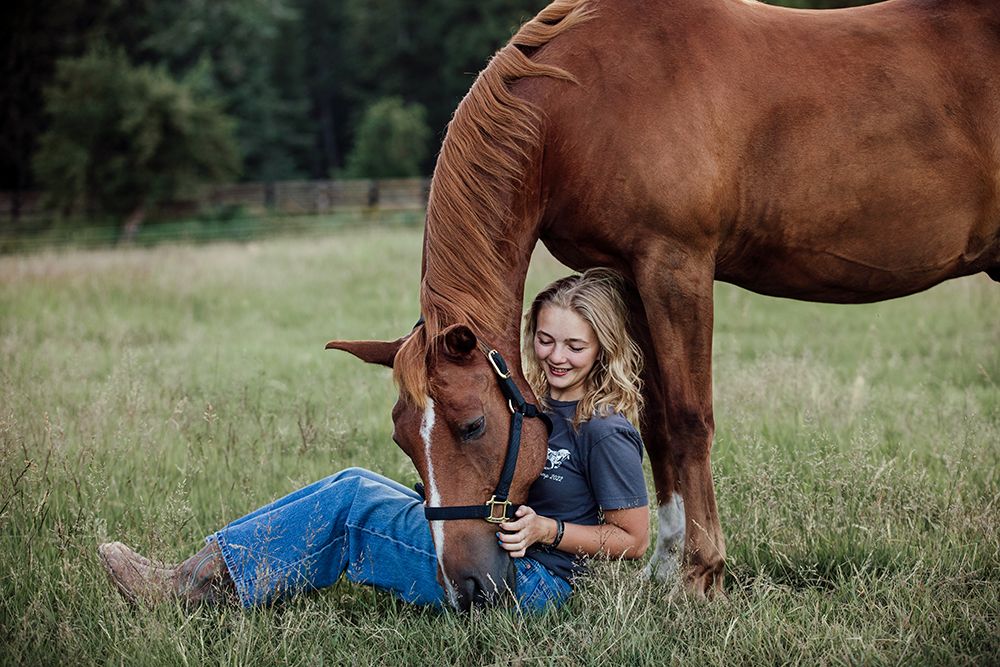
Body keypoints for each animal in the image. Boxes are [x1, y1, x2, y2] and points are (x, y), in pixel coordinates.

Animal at [327, 0, 1000, 609]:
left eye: (472, 426)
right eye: (403, 440)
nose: (464, 589)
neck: (581, 109)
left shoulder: (677, 266)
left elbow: (687, 418)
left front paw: (702, 575)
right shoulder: (630, 276)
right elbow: (651, 425)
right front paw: (666, 570)